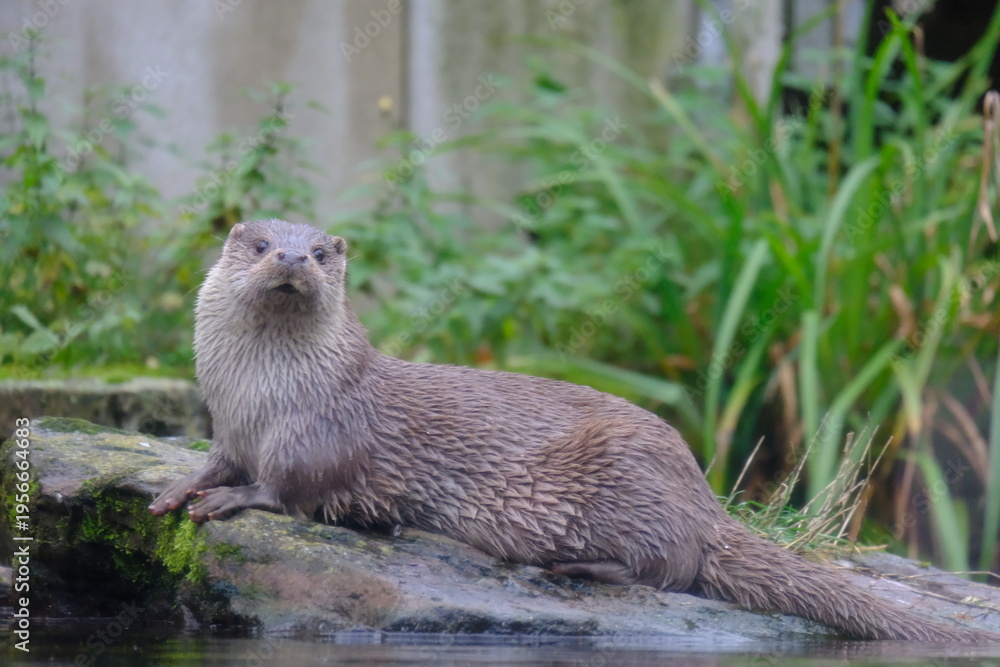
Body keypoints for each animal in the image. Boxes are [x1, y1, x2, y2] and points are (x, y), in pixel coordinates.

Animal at [150, 219, 990, 642]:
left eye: (322, 252)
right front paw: (177, 489)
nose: (295, 257)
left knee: (669, 567)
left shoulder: (321, 431)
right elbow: (216, 462)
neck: (263, 394)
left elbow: (289, 487)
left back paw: (571, 566)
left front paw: (233, 501)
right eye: (262, 245)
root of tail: (700, 493)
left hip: (626, 480)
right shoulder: (229, 424)